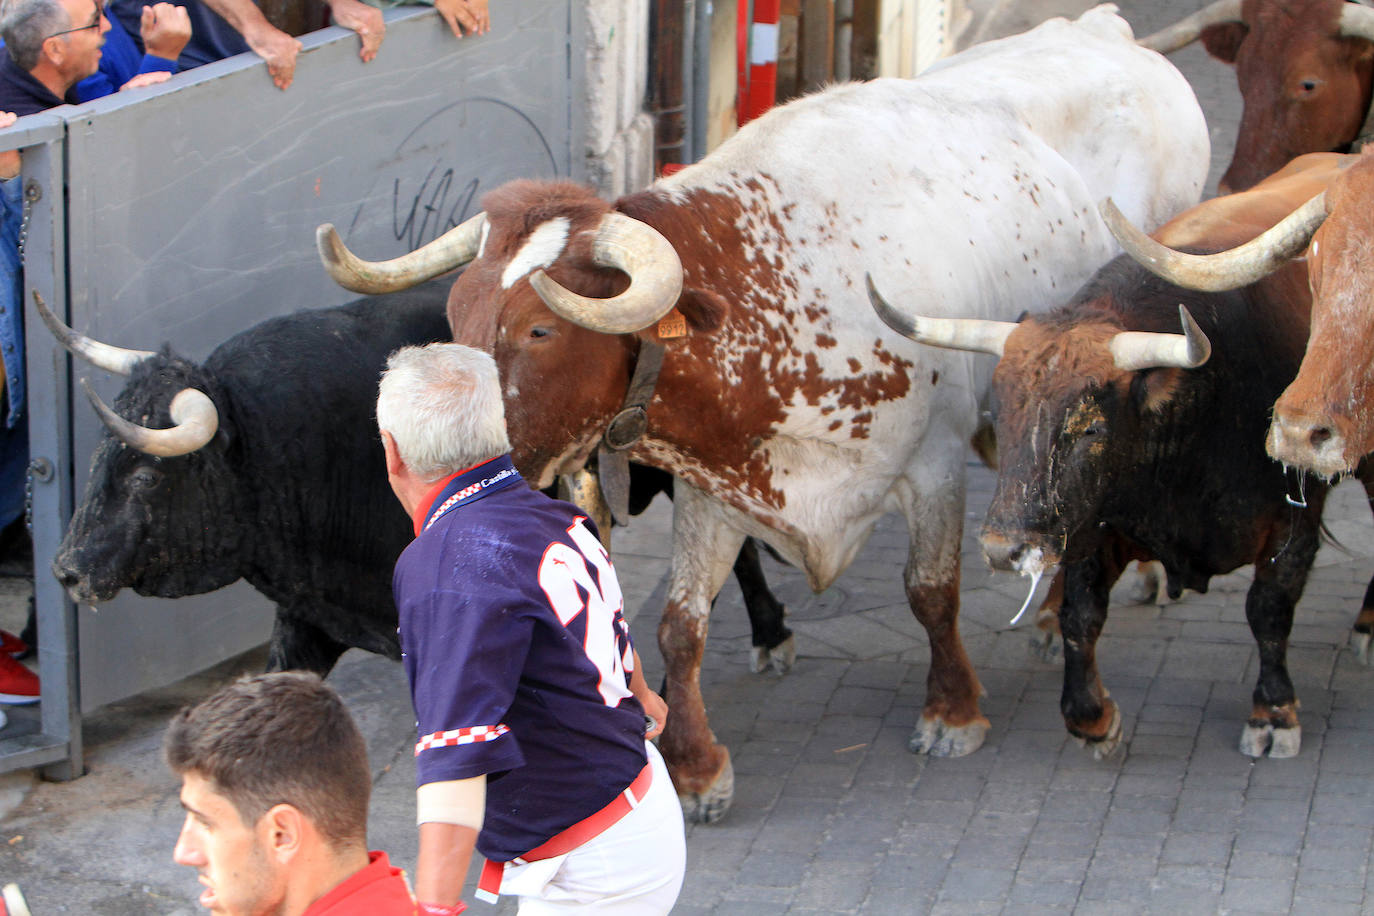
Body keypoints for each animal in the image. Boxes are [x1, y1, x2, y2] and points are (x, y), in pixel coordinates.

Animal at [316, 5, 1209, 823]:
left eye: (540, 329)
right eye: (457, 313)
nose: (414, 452)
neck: (775, 301)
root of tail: (1103, 30)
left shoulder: (934, 464)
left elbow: (931, 591)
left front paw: (952, 710)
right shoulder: (716, 490)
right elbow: (680, 625)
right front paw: (697, 768)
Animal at [873, 155, 1368, 758]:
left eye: (1091, 428)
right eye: (1001, 416)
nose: (1002, 549)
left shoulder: (1294, 521)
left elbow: (1268, 609)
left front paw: (1273, 714)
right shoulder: (1089, 524)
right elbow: (1079, 615)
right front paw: (1093, 717)